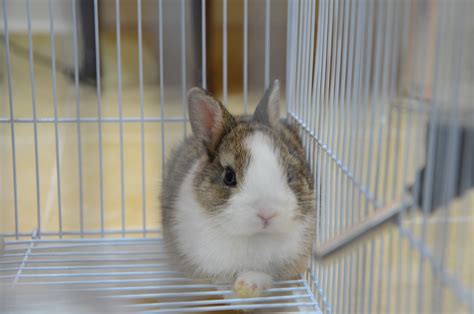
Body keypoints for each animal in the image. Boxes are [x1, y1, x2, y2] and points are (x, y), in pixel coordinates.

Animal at [161, 79, 316, 298]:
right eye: (229, 177)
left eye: (289, 173)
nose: (267, 213)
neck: (252, 237)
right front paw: (227, 288)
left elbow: (261, 274)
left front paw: (247, 285)